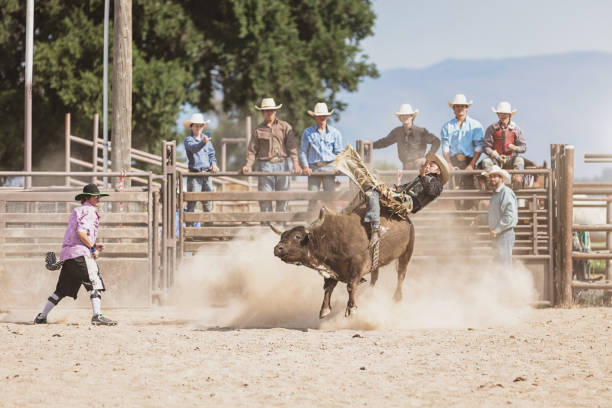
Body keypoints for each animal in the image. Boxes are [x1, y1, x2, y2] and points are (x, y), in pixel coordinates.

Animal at [272, 207, 416, 318]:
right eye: (282, 236)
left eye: (297, 236)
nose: (277, 248)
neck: (330, 239)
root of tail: (406, 219)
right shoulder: (332, 268)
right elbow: (328, 287)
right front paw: (324, 309)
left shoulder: (357, 265)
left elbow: (351, 286)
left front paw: (351, 308)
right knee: (375, 277)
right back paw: (369, 295)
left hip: (406, 253)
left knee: (401, 274)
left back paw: (397, 298)